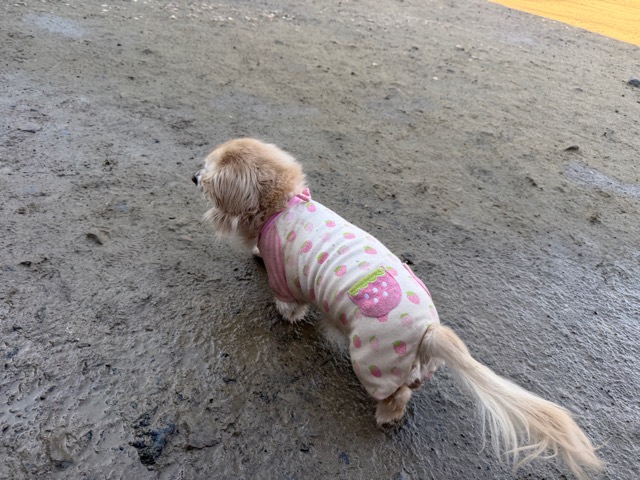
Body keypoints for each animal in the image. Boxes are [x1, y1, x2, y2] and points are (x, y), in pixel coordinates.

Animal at [193, 138, 602, 479]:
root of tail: (430, 331)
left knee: (397, 394)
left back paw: (387, 416)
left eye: (210, 176)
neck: (284, 203)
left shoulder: (285, 281)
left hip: (372, 360)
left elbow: (288, 304)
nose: (194, 176)